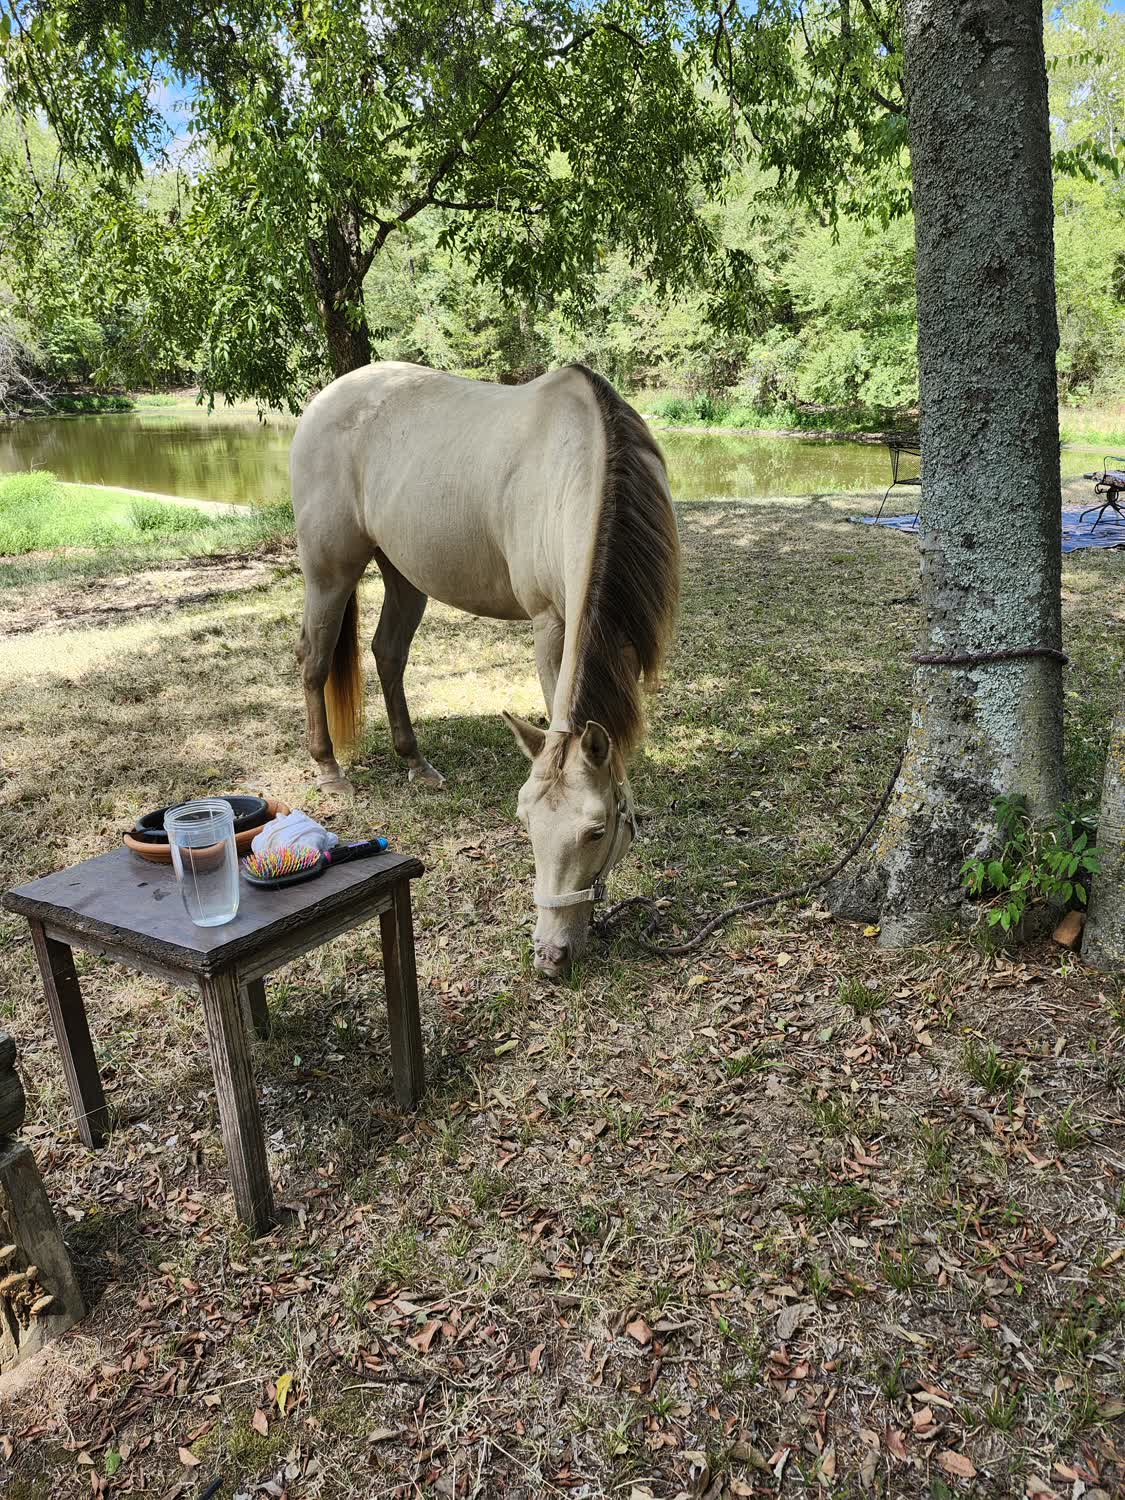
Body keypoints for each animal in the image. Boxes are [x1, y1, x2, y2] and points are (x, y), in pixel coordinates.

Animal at [291, 361, 679, 978]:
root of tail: (328, 398)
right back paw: (330, 769)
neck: (579, 458)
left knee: (388, 653)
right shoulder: (551, 623)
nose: (549, 955)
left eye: (596, 831)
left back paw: (415, 762)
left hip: (402, 572)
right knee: (316, 658)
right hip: (329, 572)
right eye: (525, 824)